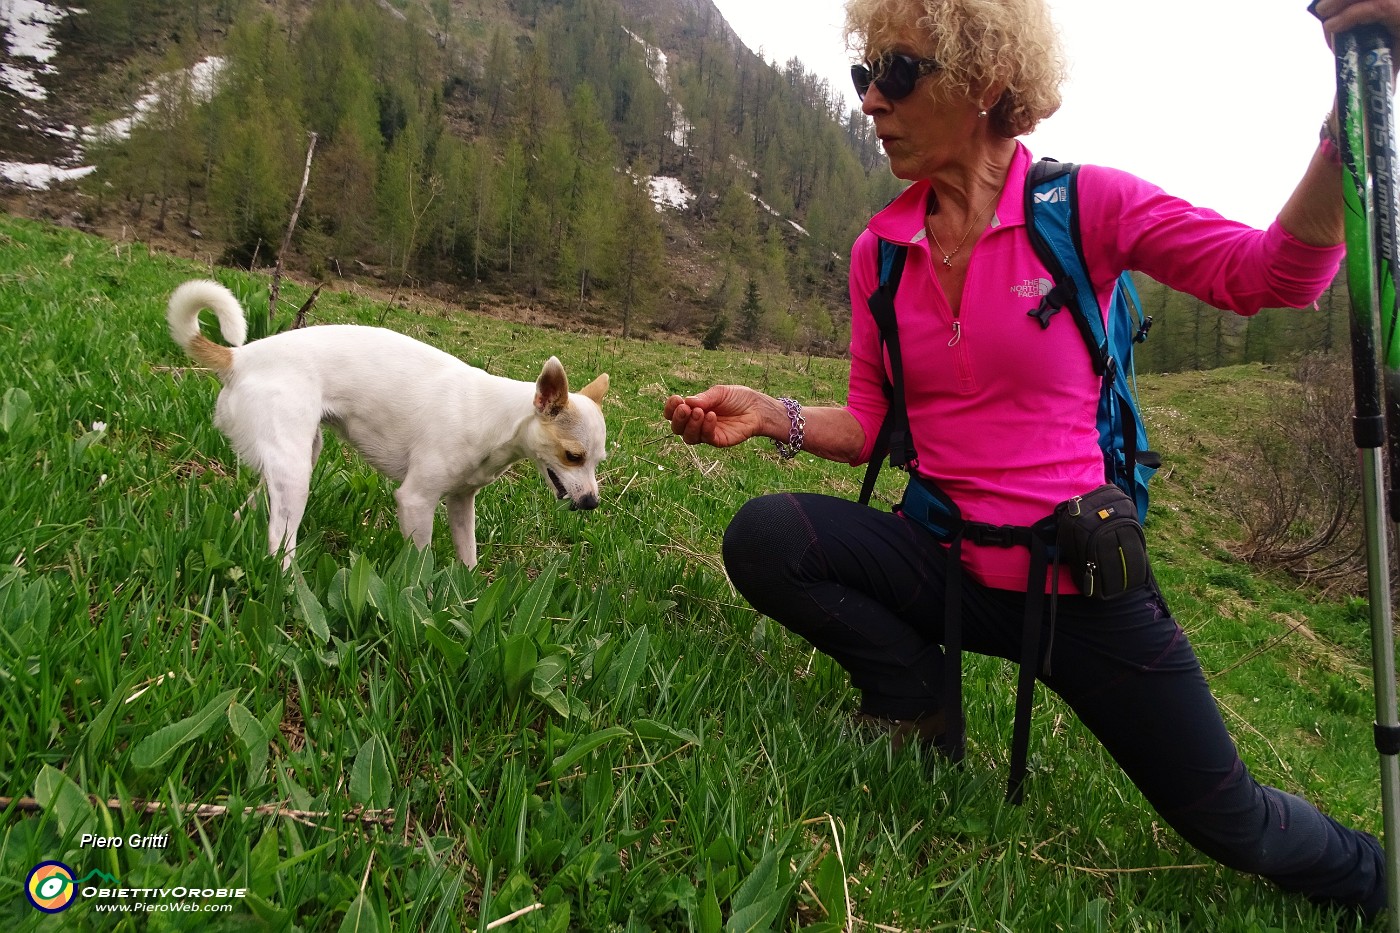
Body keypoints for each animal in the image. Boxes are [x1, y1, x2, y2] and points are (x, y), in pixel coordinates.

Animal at [163, 275, 607, 565]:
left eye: (598, 462)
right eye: (572, 456)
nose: (591, 503)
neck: (498, 418)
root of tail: (239, 358)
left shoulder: (461, 504)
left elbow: (468, 559)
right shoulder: (415, 501)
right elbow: (421, 561)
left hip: (296, 458)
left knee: (254, 508)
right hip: (296, 474)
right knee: (279, 539)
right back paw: (287, 585)